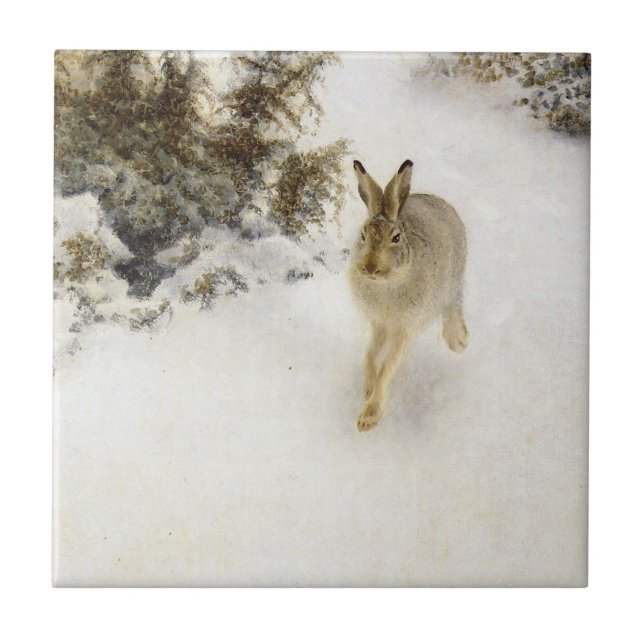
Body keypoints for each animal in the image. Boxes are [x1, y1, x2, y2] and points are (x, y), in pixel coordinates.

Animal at [349, 159, 468, 431]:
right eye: (362, 235)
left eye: (396, 238)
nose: (370, 267)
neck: (387, 283)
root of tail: (442, 203)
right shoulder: (380, 324)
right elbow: (370, 355)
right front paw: (367, 391)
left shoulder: (405, 328)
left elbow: (388, 366)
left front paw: (368, 418)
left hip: (453, 279)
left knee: (452, 305)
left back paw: (459, 341)